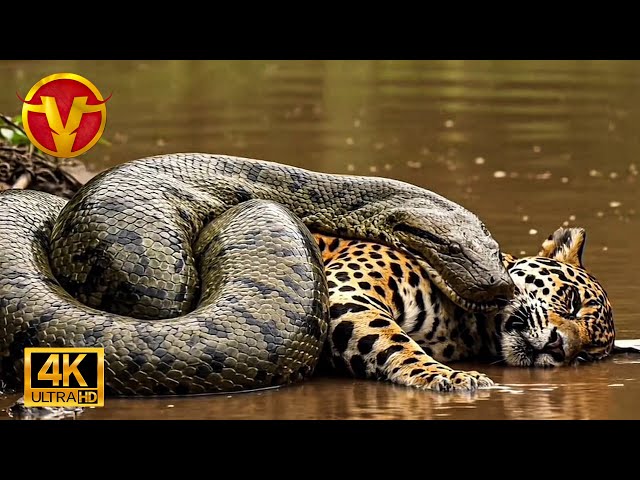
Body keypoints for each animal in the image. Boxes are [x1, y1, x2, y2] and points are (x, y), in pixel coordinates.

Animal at [313, 226, 615, 392]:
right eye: (573, 302)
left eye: (583, 355)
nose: (558, 347)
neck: (464, 327)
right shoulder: (348, 290)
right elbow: (394, 342)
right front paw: (448, 377)